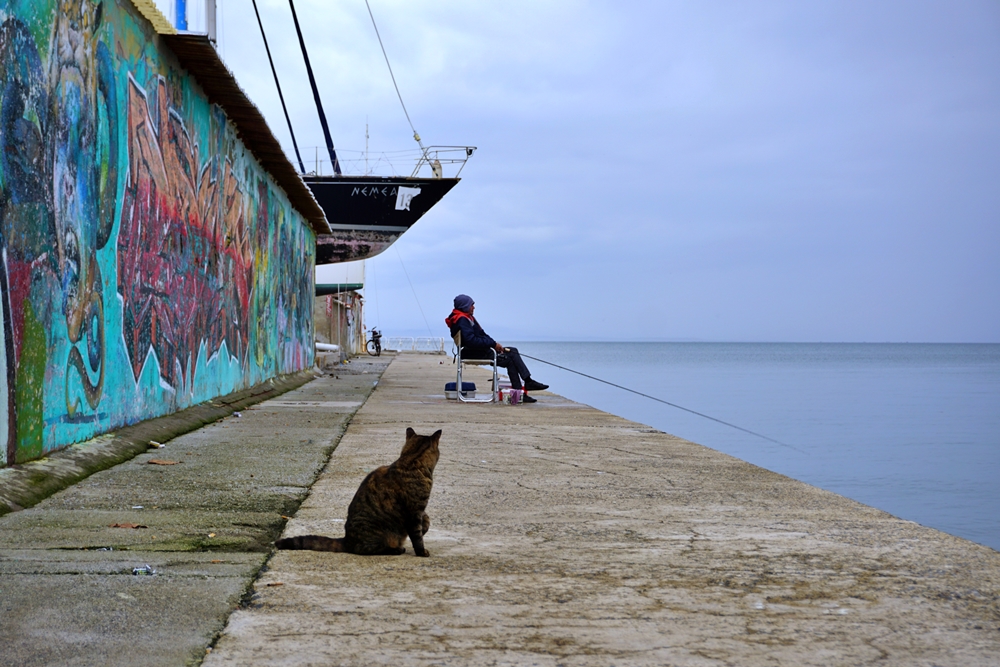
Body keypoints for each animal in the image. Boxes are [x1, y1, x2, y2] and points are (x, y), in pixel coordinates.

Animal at [276, 430, 444, 556]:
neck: (411, 461)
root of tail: (347, 540)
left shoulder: (419, 510)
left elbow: (426, 519)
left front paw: (425, 526)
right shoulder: (413, 512)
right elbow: (417, 537)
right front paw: (422, 551)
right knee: (365, 549)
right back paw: (395, 549)